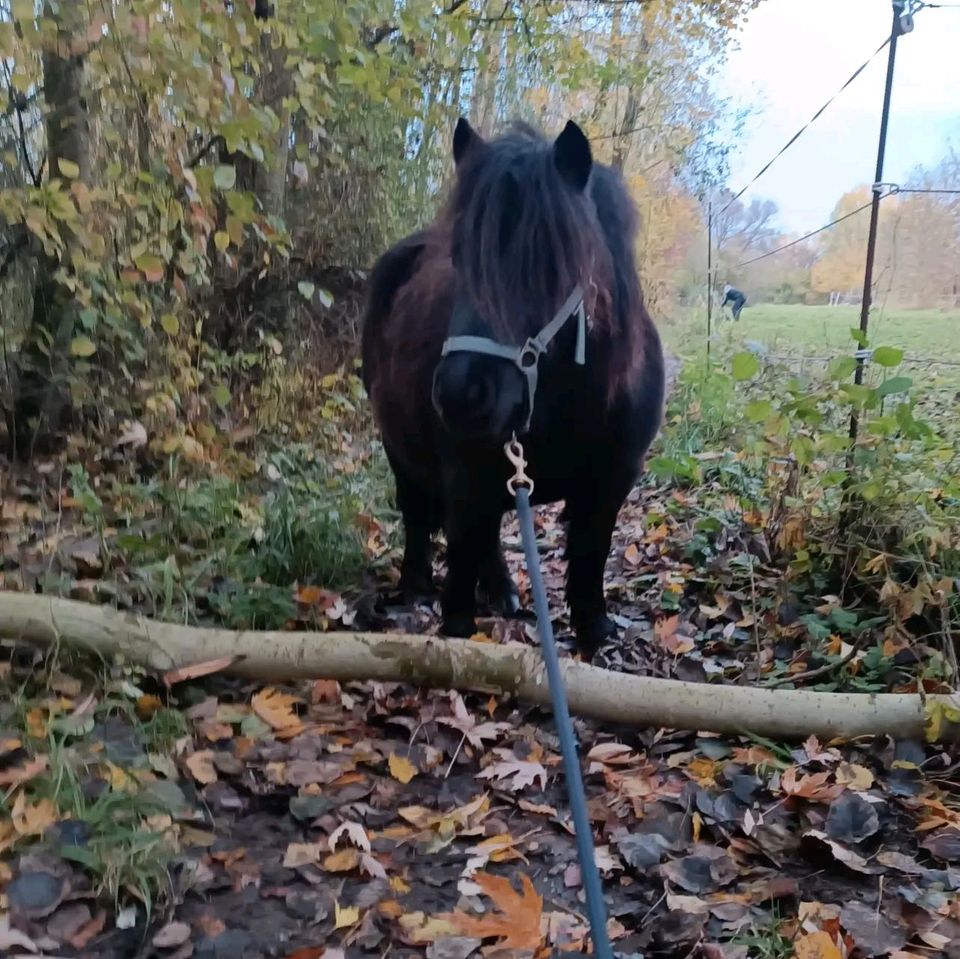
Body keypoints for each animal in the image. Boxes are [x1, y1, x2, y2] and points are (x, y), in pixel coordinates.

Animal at [364, 118, 664, 660]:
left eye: (548, 257)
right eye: (457, 257)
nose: (461, 393)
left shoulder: (611, 484)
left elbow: (589, 564)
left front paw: (593, 636)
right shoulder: (465, 479)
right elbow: (459, 595)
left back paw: (501, 591)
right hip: (399, 446)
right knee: (417, 512)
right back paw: (414, 587)